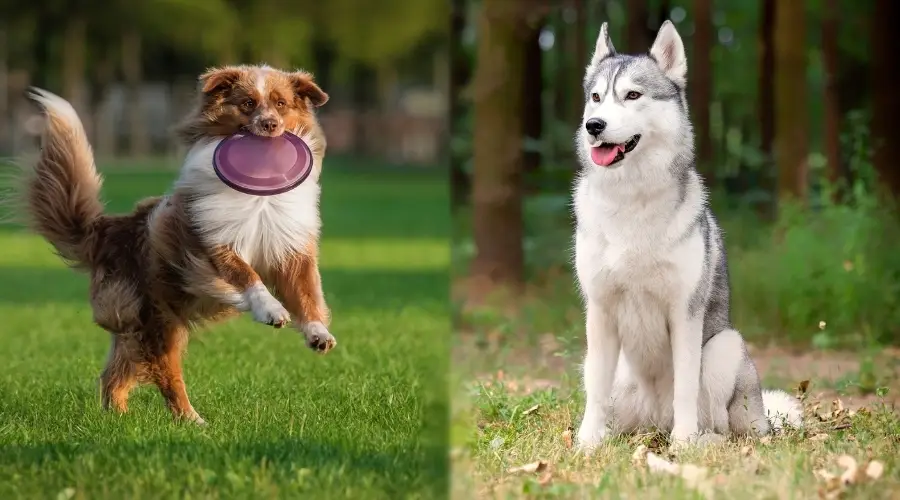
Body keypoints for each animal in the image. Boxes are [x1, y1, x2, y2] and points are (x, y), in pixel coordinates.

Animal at [14, 64, 334, 426]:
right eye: (248, 103)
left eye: (281, 104)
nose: (270, 124)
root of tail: (109, 229)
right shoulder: (208, 244)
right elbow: (246, 275)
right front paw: (271, 309)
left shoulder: (293, 249)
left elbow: (307, 293)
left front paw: (318, 333)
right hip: (158, 322)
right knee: (165, 373)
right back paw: (192, 421)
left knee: (116, 374)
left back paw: (119, 420)